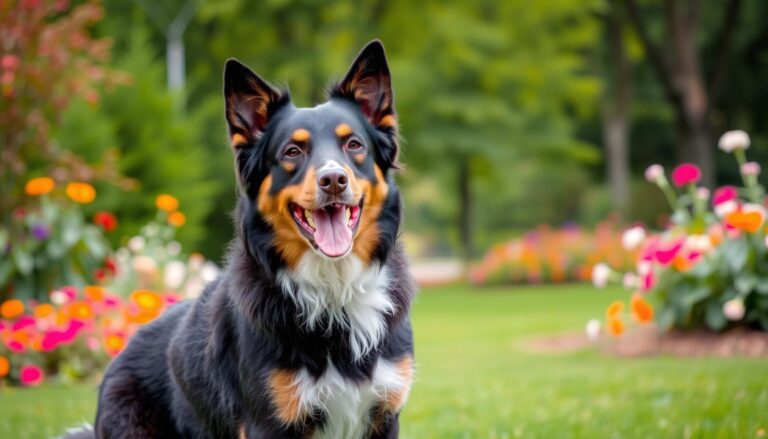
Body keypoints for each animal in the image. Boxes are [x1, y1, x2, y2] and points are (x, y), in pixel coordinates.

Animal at [76, 39, 416, 438]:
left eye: (354, 145)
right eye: (292, 152)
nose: (333, 179)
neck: (335, 289)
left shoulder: (384, 414)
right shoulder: (268, 422)